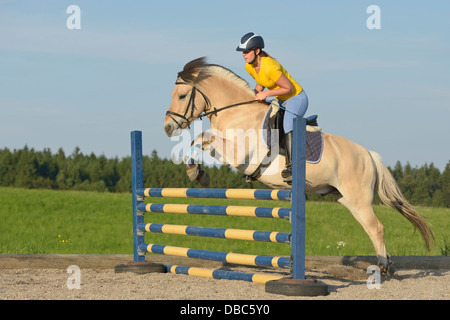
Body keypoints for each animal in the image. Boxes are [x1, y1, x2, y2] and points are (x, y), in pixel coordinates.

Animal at [163, 56, 432, 274]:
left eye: (183, 96)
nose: (168, 127)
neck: (236, 112)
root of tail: (368, 154)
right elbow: (201, 139)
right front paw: (197, 172)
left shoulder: (240, 156)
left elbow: (202, 137)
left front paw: (196, 173)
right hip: (345, 198)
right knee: (371, 228)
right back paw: (389, 264)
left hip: (358, 199)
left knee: (376, 228)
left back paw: (384, 267)